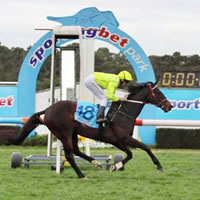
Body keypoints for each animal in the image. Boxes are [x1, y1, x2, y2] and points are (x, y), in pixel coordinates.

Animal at [10, 81, 172, 178]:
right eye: (159, 93)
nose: (169, 106)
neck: (123, 112)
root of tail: (48, 109)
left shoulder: (118, 141)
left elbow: (130, 154)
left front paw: (115, 166)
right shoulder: (123, 138)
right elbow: (145, 148)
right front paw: (159, 165)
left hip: (73, 132)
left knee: (76, 151)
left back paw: (96, 163)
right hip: (64, 132)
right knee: (69, 155)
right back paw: (81, 174)